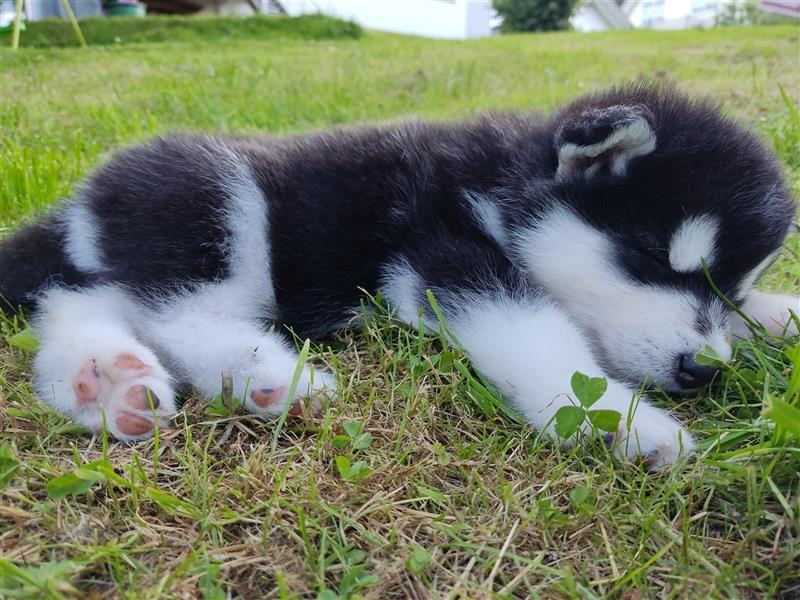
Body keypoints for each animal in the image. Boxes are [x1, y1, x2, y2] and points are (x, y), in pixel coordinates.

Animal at [0, 85, 796, 468]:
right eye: (648, 258)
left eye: (731, 291)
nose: (703, 370)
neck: (499, 183)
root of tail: (82, 202)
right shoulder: (436, 256)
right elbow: (540, 338)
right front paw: (627, 424)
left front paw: (779, 314)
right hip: (209, 202)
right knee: (171, 310)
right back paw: (263, 372)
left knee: (76, 299)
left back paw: (105, 379)